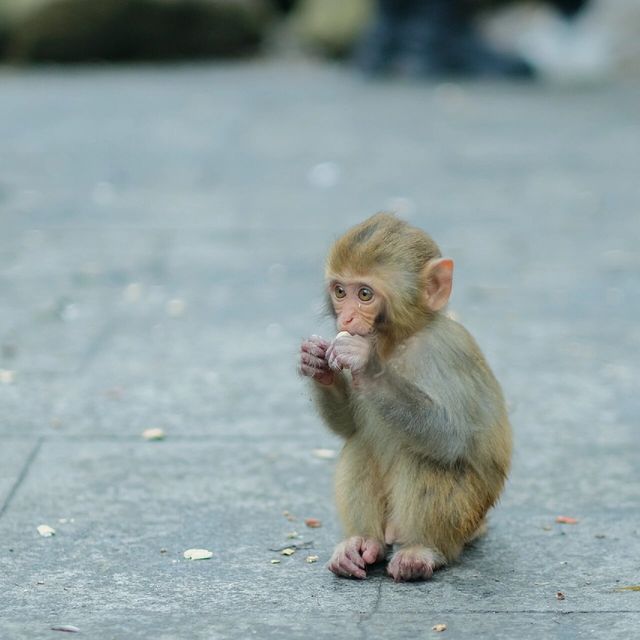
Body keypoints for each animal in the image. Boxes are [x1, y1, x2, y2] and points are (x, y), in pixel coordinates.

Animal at [298, 214, 512, 580]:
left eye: (365, 294)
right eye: (340, 292)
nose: (346, 318)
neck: (397, 341)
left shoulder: (446, 352)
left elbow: (450, 438)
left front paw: (366, 365)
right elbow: (349, 427)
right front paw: (316, 362)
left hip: (462, 518)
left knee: (428, 459)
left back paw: (421, 551)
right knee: (360, 444)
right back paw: (362, 543)